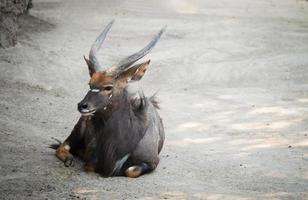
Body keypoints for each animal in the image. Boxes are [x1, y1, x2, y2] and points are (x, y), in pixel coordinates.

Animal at [50, 19, 166, 177]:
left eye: (108, 87)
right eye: (90, 83)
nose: (82, 105)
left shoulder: (152, 162)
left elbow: (130, 170)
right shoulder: (91, 160)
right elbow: (89, 166)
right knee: (62, 146)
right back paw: (69, 159)